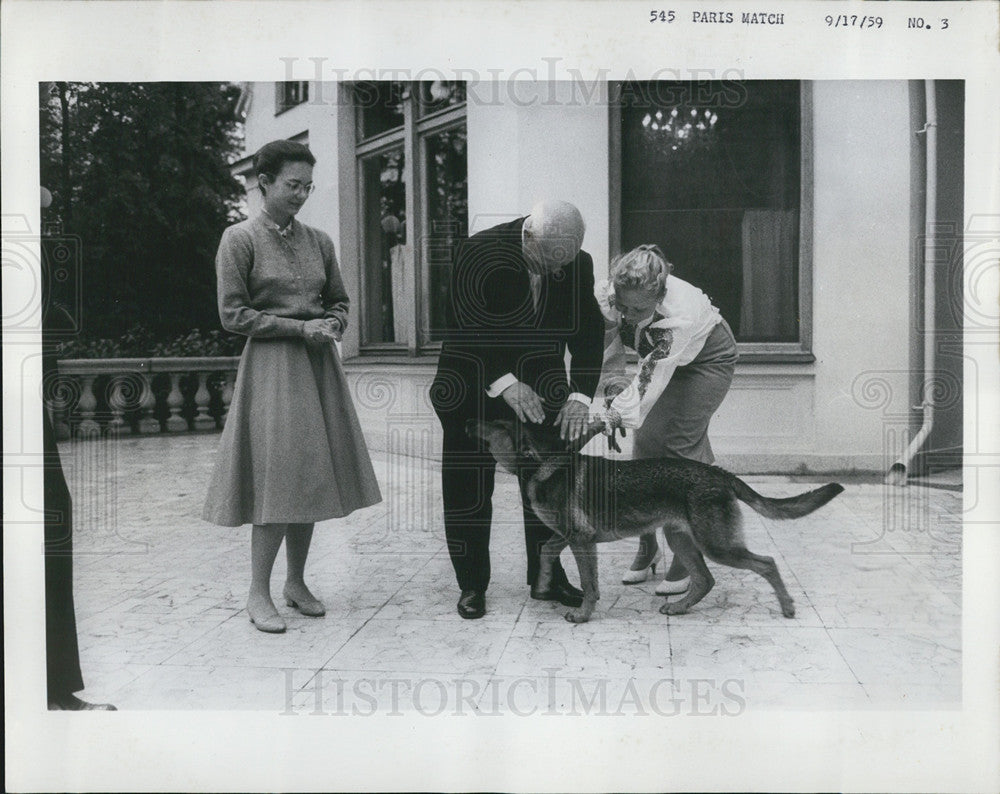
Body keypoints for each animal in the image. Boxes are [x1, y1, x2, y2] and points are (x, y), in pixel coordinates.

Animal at [468, 418, 844, 620]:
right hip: (682, 539)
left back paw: (787, 606)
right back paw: (679, 607)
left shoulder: (582, 539)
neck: (541, 462)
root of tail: (721, 475)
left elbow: (589, 584)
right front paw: (545, 584)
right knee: (705, 580)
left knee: (766, 563)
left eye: (497, 423)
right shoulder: (570, 536)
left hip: (717, 545)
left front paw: (583, 615)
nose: (471, 418)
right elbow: (546, 551)